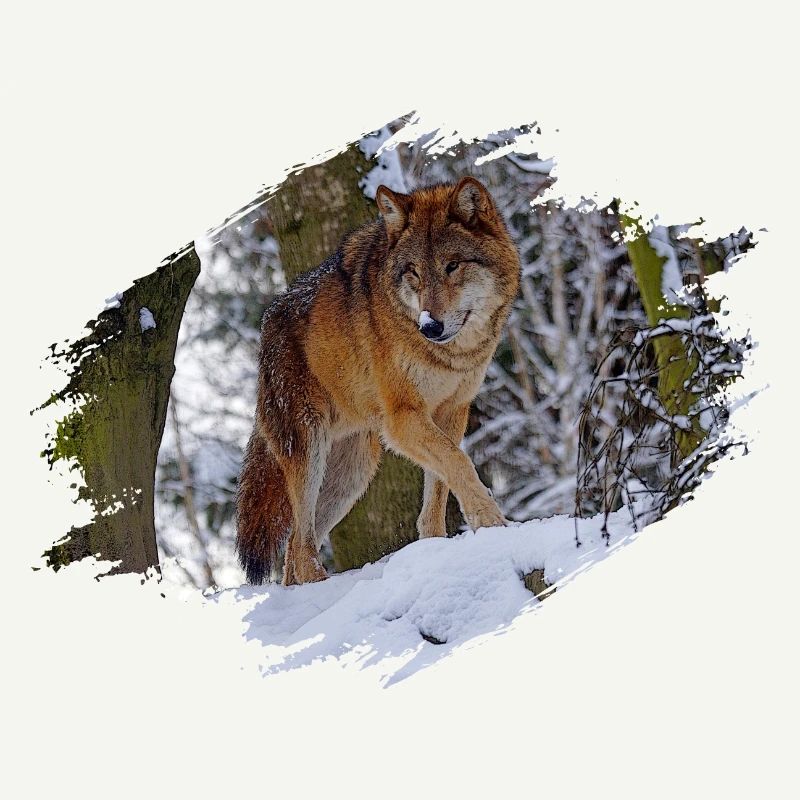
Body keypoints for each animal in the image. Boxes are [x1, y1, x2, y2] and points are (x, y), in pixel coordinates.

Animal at [236, 176, 521, 585]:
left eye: (452, 266)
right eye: (413, 272)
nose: (430, 326)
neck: (451, 356)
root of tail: (267, 324)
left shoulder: (452, 412)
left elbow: (440, 486)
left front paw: (437, 547)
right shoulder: (403, 419)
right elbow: (460, 464)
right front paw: (491, 522)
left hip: (353, 473)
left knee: (293, 551)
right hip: (310, 451)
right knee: (301, 547)